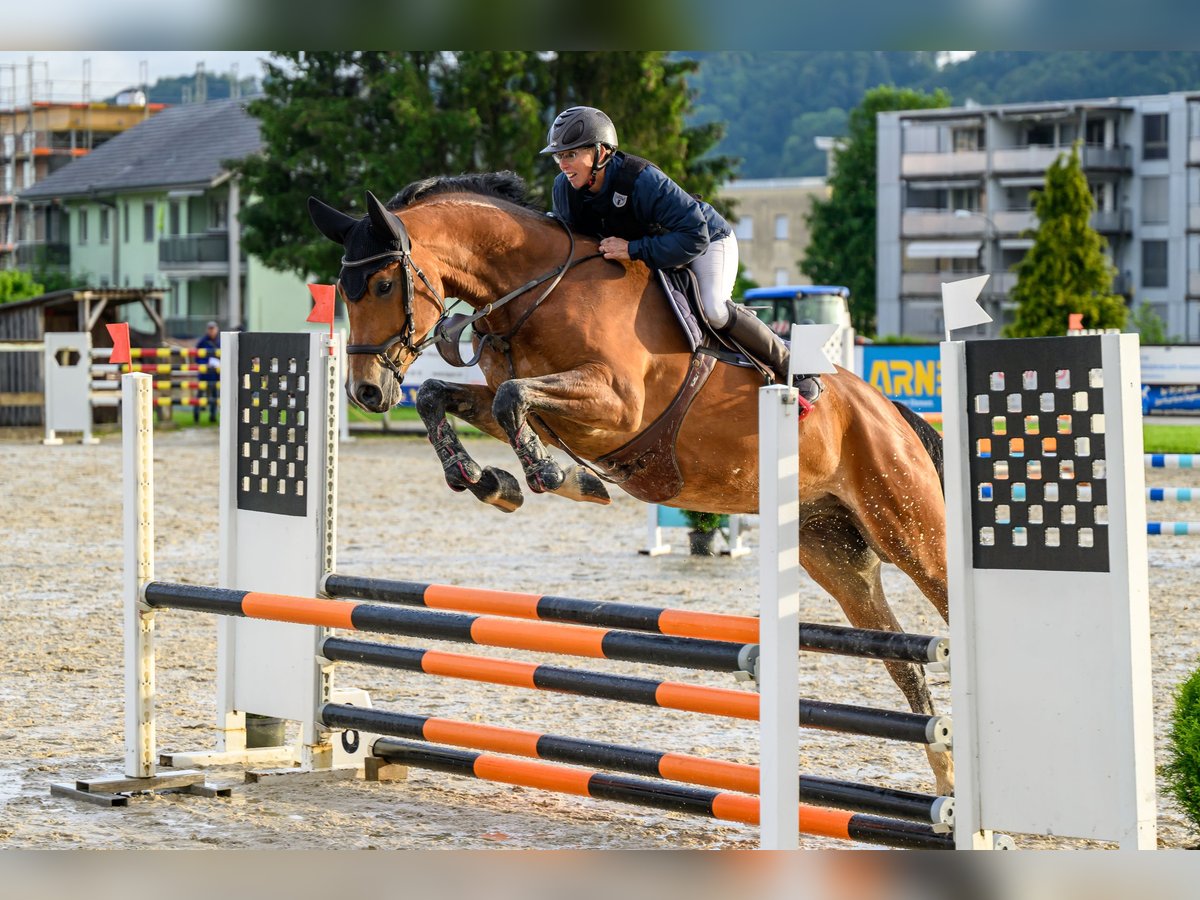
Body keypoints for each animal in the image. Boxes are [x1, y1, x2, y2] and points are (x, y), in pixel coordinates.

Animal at [309, 170, 955, 796]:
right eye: (342, 290)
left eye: (384, 286)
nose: (366, 392)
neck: (537, 291)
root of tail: (888, 409)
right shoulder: (536, 408)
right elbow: (448, 397)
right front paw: (490, 481)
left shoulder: (616, 405)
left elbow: (512, 395)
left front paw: (555, 476)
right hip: (835, 552)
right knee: (901, 658)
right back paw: (945, 769)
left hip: (909, 530)